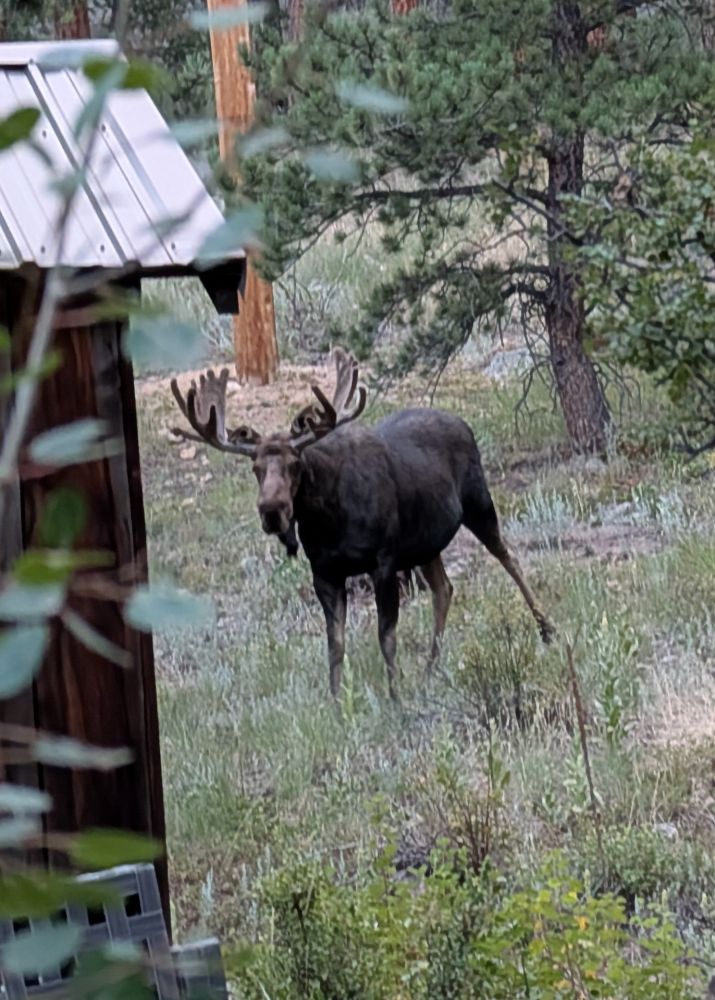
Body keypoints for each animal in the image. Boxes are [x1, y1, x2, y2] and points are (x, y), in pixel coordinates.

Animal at [170, 348, 555, 701]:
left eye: (296, 463)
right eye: (256, 468)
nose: (272, 511)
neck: (329, 521)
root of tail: (462, 421)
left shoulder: (383, 561)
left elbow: (386, 636)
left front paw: (395, 697)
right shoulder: (325, 572)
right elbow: (335, 645)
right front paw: (337, 703)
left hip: (479, 503)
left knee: (508, 558)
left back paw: (546, 628)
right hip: (425, 542)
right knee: (444, 588)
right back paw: (431, 670)